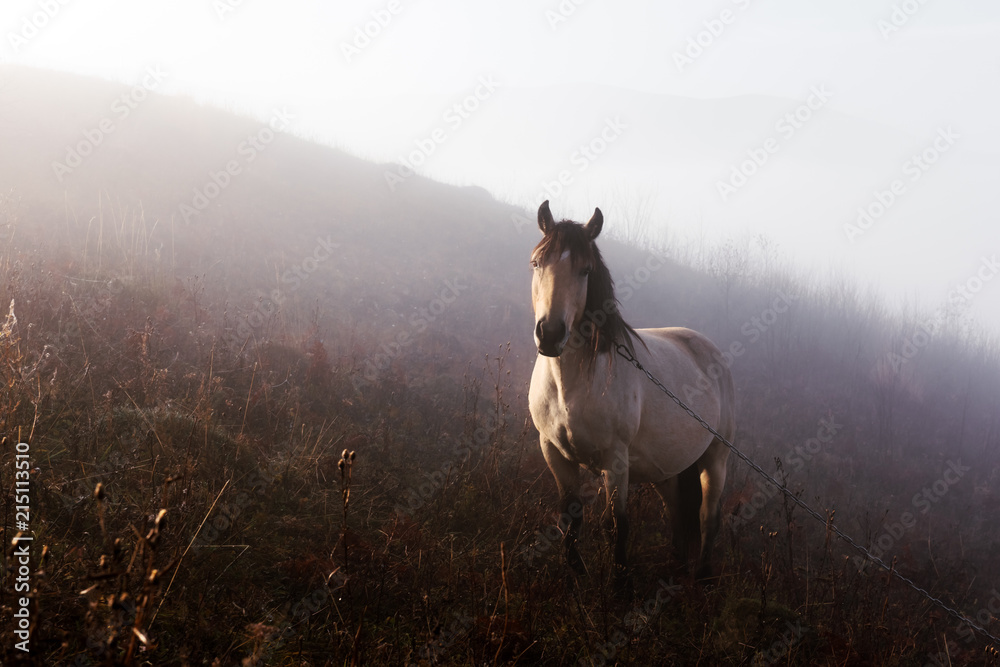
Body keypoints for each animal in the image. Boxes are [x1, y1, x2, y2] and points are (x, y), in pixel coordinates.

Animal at [532, 200, 736, 584]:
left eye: (585, 270)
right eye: (537, 263)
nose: (550, 334)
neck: (575, 384)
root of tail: (708, 349)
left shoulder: (616, 461)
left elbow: (618, 524)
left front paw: (618, 584)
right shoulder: (554, 452)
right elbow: (570, 518)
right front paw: (575, 574)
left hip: (716, 458)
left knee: (707, 518)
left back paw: (701, 577)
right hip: (667, 470)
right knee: (677, 513)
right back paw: (675, 569)